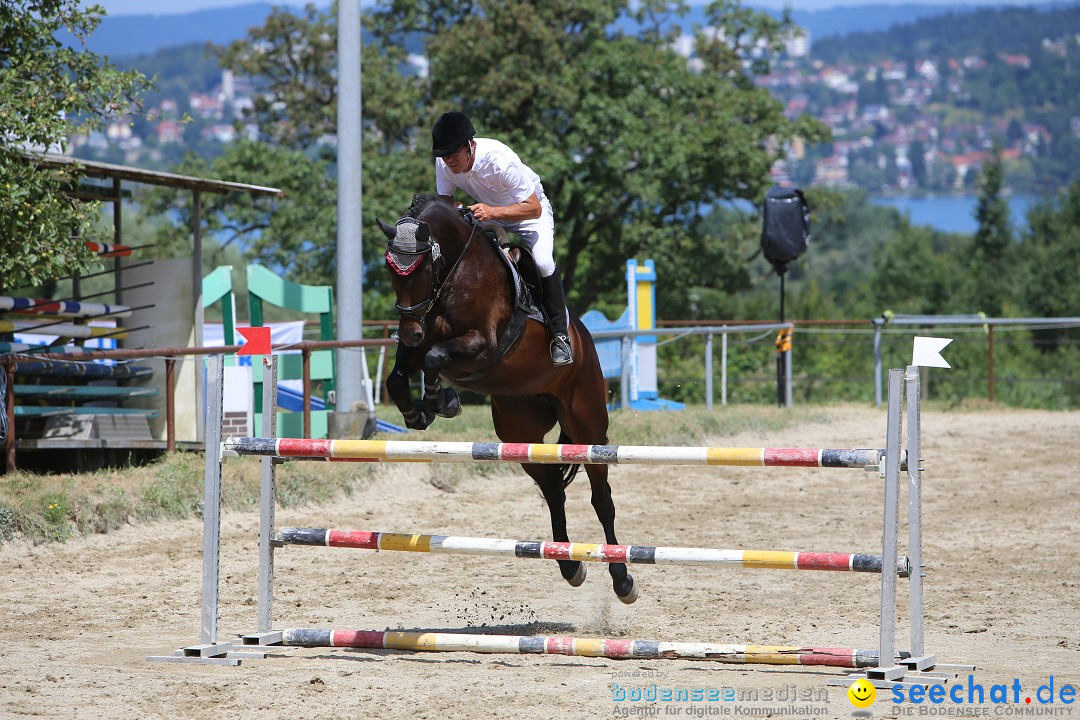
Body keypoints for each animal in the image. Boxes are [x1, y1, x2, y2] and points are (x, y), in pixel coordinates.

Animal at [375, 194, 635, 604]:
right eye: (391, 270)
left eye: (423, 268)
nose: (410, 330)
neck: (456, 274)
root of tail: (584, 339)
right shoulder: (419, 344)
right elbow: (398, 379)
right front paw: (421, 412)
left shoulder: (482, 345)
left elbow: (434, 358)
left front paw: (440, 400)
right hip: (521, 436)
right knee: (553, 491)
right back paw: (569, 566)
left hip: (588, 425)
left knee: (601, 499)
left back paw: (622, 579)